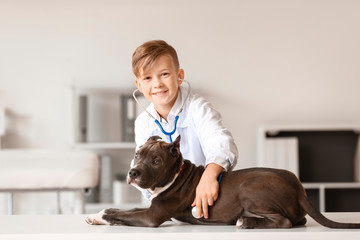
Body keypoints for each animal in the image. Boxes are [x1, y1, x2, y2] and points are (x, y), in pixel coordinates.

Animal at [86, 135, 360, 229]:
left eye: (155, 161)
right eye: (137, 154)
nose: (133, 173)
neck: (176, 175)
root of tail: (298, 187)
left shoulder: (152, 217)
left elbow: (121, 215)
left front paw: (101, 217)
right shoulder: (151, 207)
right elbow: (122, 209)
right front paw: (97, 214)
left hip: (250, 188)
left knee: (283, 222)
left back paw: (245, 222)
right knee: (296, 220)